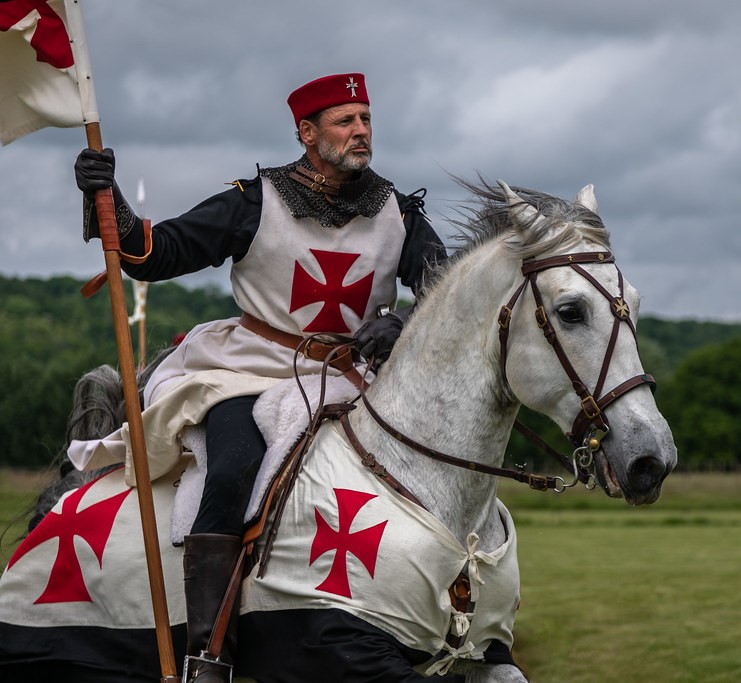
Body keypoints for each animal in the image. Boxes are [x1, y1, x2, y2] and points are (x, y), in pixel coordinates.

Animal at [0, 179, 676, 680]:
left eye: (638, 305)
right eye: (570, 311)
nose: (652, 459)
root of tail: (66, 491)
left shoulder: (487, 654)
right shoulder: (340, 649)